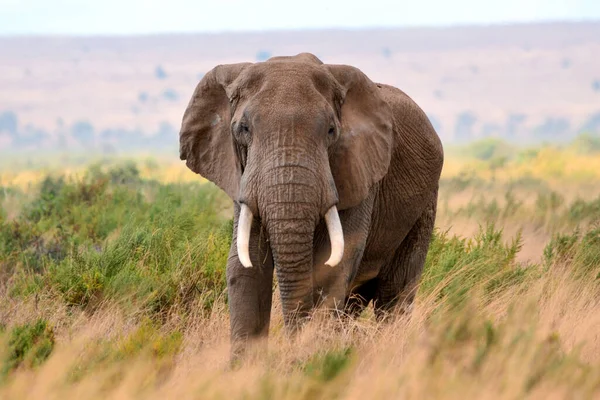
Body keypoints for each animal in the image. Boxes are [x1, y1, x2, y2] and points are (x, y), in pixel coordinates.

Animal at [178, 50, 440, 356]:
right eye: (243, 129)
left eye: (331, 131)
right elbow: (245, 265)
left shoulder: (358, 171)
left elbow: (333, 262)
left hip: (426, 203)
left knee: (395, 294)